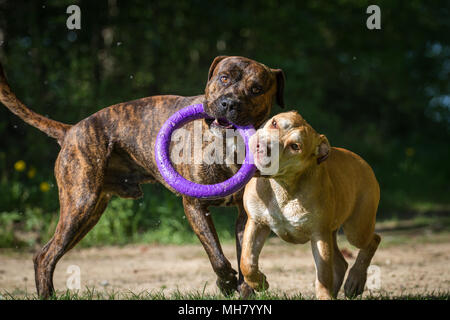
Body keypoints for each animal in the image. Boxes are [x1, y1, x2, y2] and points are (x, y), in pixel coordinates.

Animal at [0, 56, 284, 298]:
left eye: (256, 89)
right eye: (224, 78)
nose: (229, 103)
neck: (227, 144)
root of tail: (71, 130)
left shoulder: (244, 214)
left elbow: (245, 256)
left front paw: (248, 287)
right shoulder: (194, 206)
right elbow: (216, 254)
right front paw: (225, 283)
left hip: (89, 213)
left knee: (47, 253)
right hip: (79, 204)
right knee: (45, 257)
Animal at [243, 111, 380, 298]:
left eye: (295, 146)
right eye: (274, 123)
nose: (261, 146)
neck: (283, 186)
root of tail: (362, 161)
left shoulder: (318, 235)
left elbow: (322, 274)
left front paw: (324, 296)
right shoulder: (257, 222)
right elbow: (247, 261)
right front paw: (259, 282)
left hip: (357, 229)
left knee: (372, 240)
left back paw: (355, 280)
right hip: (333, 232)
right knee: (340, 263)